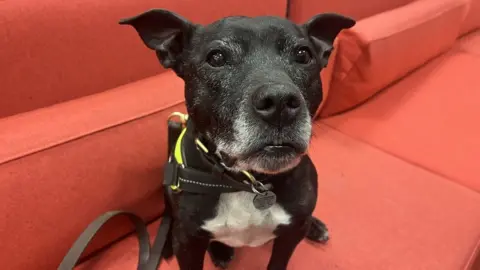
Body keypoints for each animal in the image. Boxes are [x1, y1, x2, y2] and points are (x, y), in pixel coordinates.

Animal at [120, 9, 352, 268]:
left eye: (303, 54)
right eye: (216, 57)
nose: (279, 101)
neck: (248, 183)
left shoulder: (291, 235)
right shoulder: (187, 242)